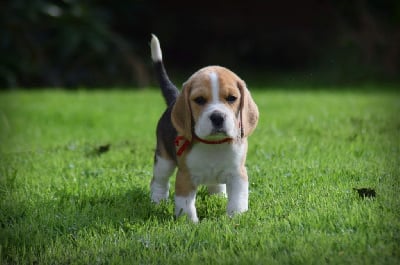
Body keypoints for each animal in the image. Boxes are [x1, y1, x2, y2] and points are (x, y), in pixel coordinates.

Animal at [150, 34, 260, 221]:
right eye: (199, 100)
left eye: (232, 98)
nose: (217, 117)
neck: (213, 144)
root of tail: (174, 99)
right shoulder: (185, 177)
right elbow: (186, 204)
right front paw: (189, 223)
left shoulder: (238, 174)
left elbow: (238, 200)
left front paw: (235, 219)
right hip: (163, 160)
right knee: (159, 181)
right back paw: (157, 201)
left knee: (216, 184)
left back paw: (218, 196)